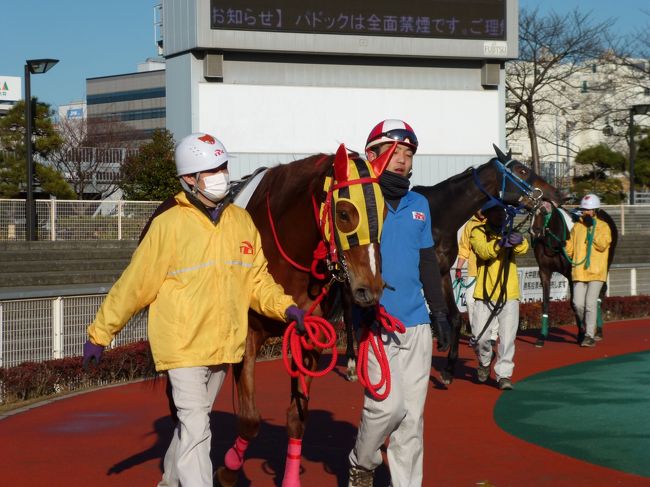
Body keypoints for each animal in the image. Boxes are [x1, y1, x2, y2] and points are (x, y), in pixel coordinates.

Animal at [215, 145, 392, 487]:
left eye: (386, 213)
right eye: (345, 213)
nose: (371, 288)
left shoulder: (309, 334)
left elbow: (298, 416)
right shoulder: (247, 336)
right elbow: (249, 419)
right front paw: (228, 470)